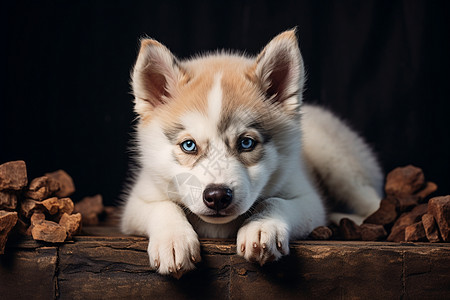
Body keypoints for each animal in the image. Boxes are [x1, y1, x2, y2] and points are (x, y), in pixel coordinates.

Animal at [120, 29, 384, 276]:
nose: (217, 196)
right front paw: (173, 240)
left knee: (370, 199)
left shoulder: (309, 200)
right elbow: (164, 206)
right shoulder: (136, 202)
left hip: (335, 158)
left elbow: (275, 201)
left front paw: (263, 226)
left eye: (246, 143)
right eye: (189, 145)